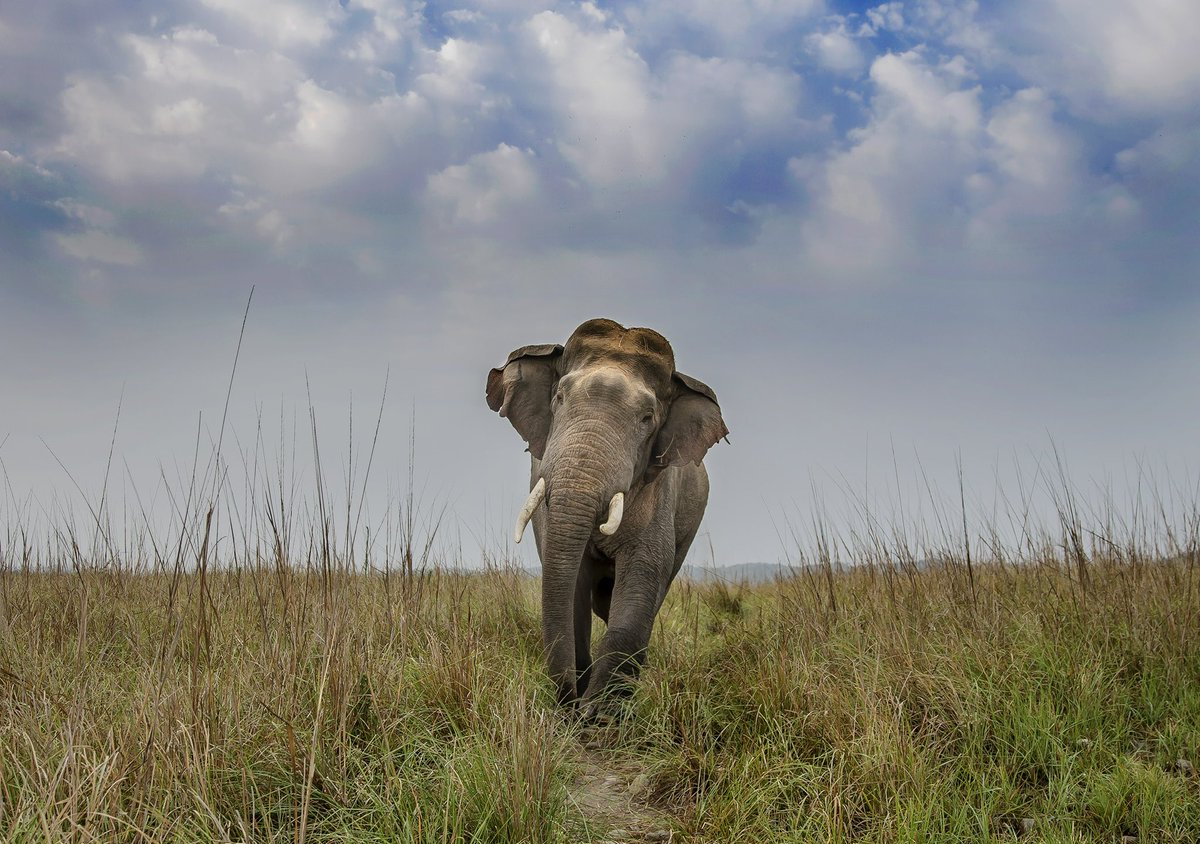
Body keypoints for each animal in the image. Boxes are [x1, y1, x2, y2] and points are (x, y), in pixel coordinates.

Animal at [486, 317, 728, 712]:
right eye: (559, 397)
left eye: (647, 418)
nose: (570, 700)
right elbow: (572, 587)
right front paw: (579, 705)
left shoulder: (658, 492)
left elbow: (640, 580)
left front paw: (602, 714)